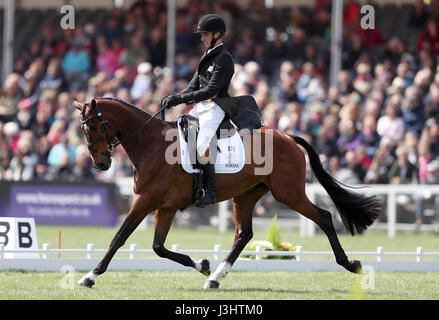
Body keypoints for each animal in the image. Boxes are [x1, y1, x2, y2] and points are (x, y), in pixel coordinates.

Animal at [73, 98, 382, 290]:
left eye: (94, 126)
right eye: (83, 129)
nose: (100, 164)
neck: (151, 144)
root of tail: (287, 136)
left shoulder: (146, 201)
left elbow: (119, 237)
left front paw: (90, 276)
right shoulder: (165, 206)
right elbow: (158, 247)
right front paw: (202, 265)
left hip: (289, 193)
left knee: (325, 217)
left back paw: (350, 264)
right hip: (246, 195)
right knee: (243, 234)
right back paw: (215, 277)